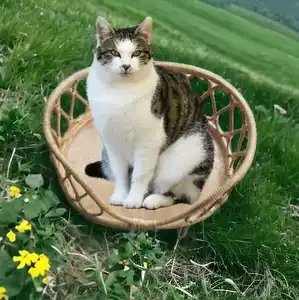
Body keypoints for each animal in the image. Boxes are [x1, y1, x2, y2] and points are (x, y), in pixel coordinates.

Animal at [85, 15, 214, 209]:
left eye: (136, 53)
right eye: (114, 53)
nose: (126, 66)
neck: (120, 91)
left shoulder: (148, 142)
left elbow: (140, 175)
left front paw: (133, 200)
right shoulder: (111, 141)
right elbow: (120, 173)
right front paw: (120, 195)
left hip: (181, 162)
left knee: (179, 195)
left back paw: (154, 199)